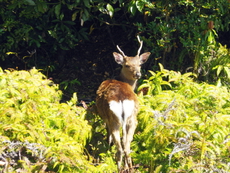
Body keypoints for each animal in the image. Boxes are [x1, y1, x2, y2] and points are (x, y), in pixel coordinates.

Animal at [95, 35, 151, 172]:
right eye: (127, 65)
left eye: (139, 64)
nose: (138, 74)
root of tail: (121, 100)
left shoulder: (106, 118)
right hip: (132, 118)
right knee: (126, 145)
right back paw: (129, 167)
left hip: (114, 119)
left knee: (120, 147)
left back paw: (119, 167)